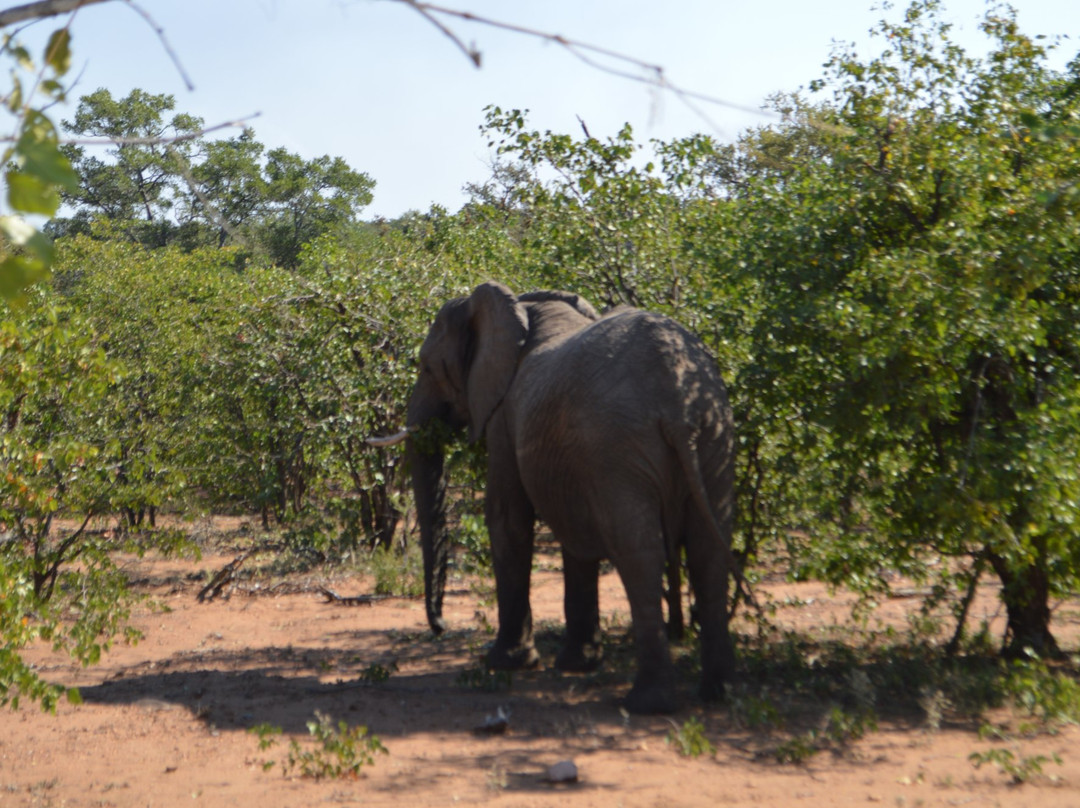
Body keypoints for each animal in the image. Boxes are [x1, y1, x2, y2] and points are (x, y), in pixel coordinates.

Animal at [369, 283, 734, 712]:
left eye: (427, 367)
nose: (440, 627)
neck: (519, 310)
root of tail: (678, 402)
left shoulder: (504, 415)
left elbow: (507, 518)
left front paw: (504, 663)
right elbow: (575, 533)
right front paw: (578, 664)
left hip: (621, 447)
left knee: (640, 553)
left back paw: (646, 703)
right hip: (714, 435)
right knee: (710, 551)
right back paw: (716, 693)